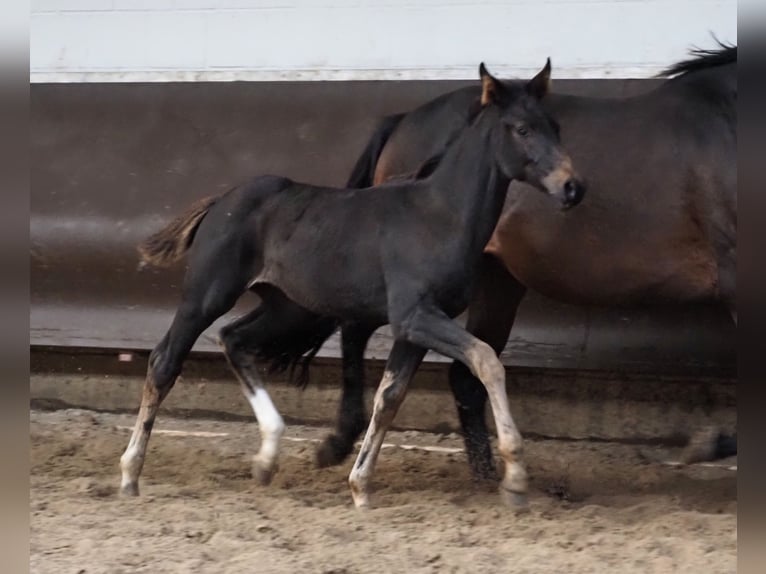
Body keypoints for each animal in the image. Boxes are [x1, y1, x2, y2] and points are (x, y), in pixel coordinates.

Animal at [120, 63, 588, 510]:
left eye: (556, 127)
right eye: (522, 129)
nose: (573, 187)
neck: (440, 215)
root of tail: (221, 201)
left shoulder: (413, 328)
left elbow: (389, 397)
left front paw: (360, 487)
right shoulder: (415, 315)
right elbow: (487, 360)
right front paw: (516, 480)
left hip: (288, 308)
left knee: (234, 339)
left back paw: (267, 457)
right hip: (207, 295)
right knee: (164, 361)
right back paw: (130, 474)